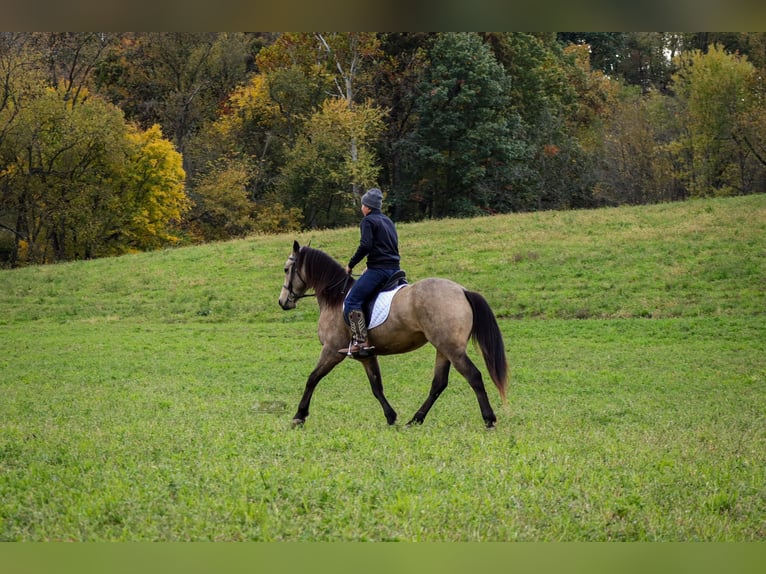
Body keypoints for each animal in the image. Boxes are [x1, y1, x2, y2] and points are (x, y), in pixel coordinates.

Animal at [278, 240, 508, 428]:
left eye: (287, 269)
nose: (282, 302)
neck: (336, 298)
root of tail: (462, 290)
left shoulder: (332, 350)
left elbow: (312, 378)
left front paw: (299, 415)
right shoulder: (366, 355)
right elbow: (376, 386)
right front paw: (391, 416)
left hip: (451, 348)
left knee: (473, 376)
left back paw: (489, 419)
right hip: (443, 348)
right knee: (439, 383)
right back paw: (415, 420)